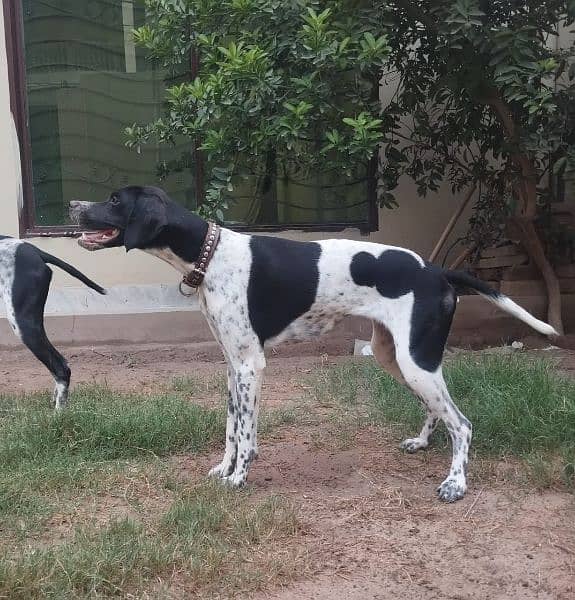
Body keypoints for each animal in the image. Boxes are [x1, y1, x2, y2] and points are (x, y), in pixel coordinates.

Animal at [68, 188, 560, 502]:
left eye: (115, 200)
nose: (73, 207)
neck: (211, 253)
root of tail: (436, 270)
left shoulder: (250, 365)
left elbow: (245, 433)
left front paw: (238, 478)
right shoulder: (232, 366)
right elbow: (231, 428)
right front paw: (224, 468)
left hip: (416, 361)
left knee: (463, 424)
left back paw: (456, 483)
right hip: (397, 359)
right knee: (437, 410)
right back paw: (422, 443)